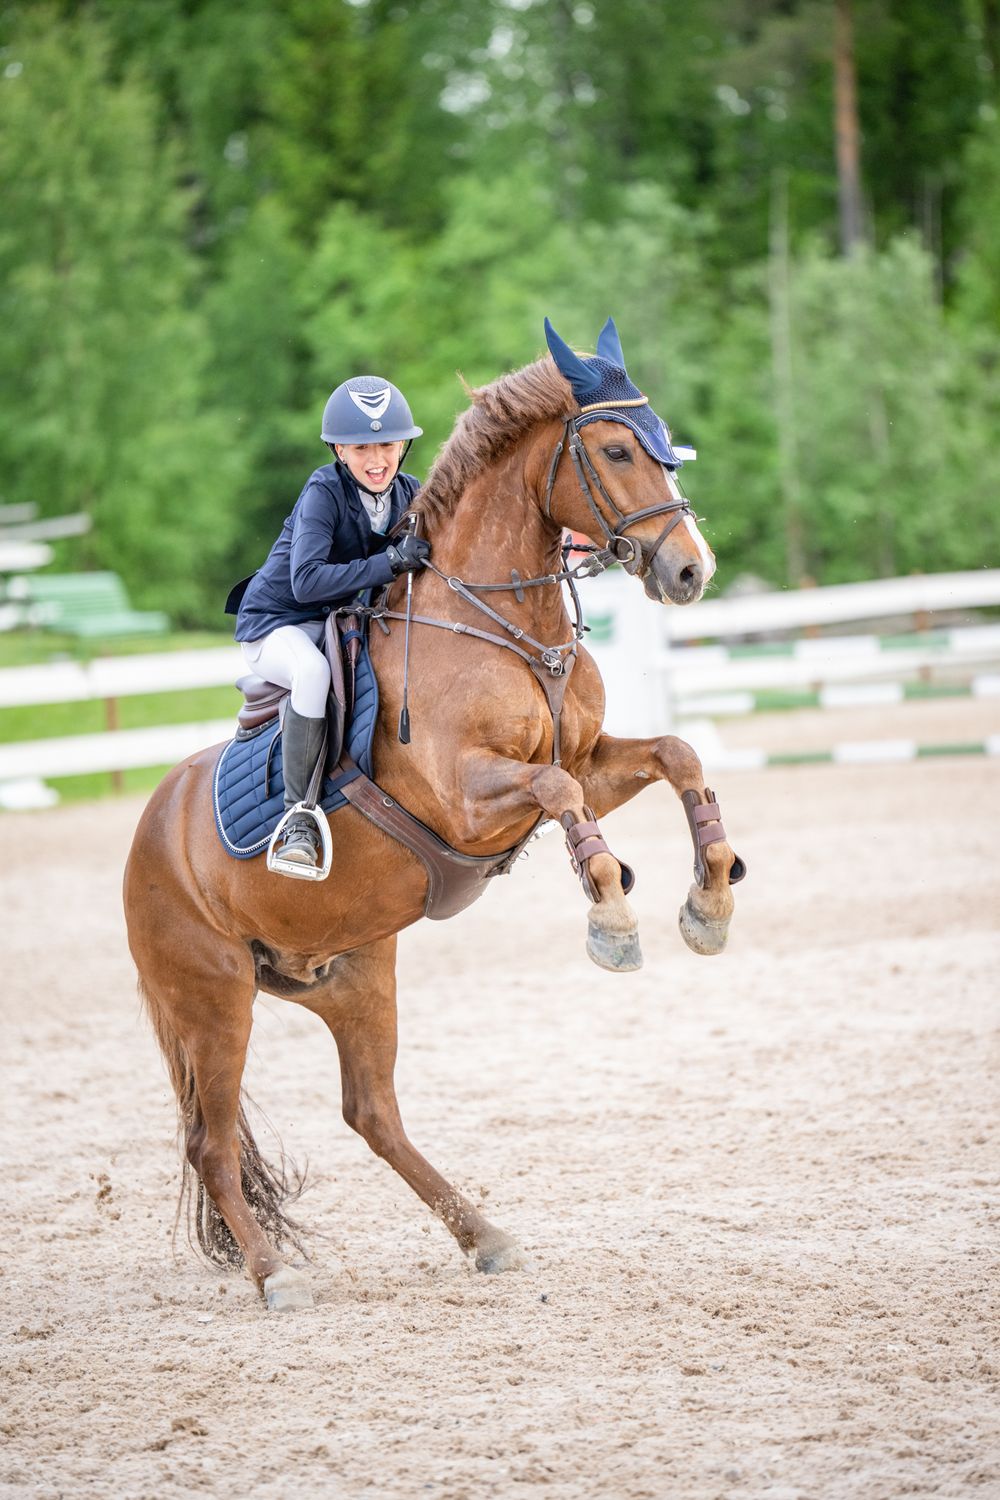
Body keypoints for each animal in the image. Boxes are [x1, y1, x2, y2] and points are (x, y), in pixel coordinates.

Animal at [123, 317, 745, 1312]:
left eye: (664, 446)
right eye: (615, 450)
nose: (691, 570)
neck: (503, 626)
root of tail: (145, 834)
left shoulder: (588, 758)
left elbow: (673, 756)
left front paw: (709, 902)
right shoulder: (471, 794)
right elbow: (563, 800)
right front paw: (611, 915)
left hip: (353, 973)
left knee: (371, 1112)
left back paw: (485, 1236)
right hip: (211, 1001)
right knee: (210, 1143)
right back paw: (273, 1276)